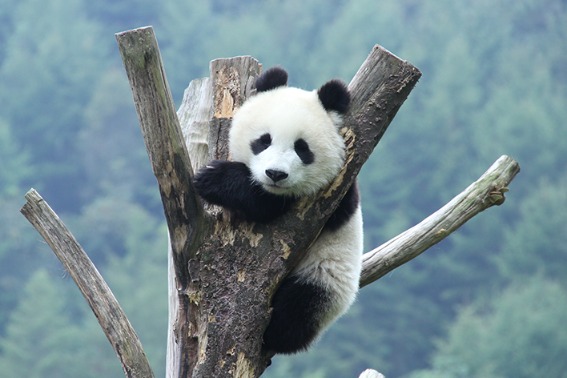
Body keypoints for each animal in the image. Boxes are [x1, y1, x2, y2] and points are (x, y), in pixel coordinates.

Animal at [195, 65, 364, 354]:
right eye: (264, 140)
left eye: (302, 148)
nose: (275, 174)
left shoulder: (336, 194)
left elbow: (267, 205)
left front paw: (213, 179)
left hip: (327, 278)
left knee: (301, 306)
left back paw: (275, 333)